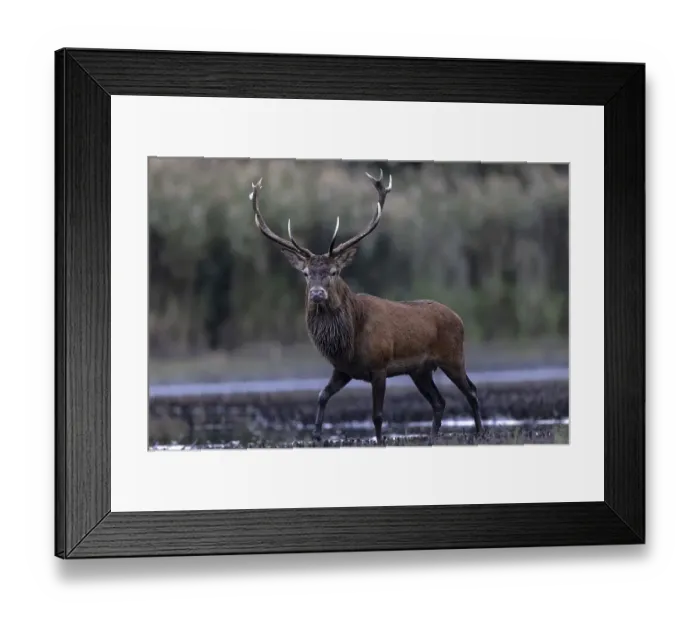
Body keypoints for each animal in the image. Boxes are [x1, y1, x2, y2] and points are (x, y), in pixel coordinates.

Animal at [248, 169, 484, 445]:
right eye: (306, 273)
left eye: (334, 271)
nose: (317, 294)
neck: (349, 340)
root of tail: (459, 318)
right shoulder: (343, 369)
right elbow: (322, 395)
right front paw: (316, 435)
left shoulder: (379, 366)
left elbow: (377, 415)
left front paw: (380, 441)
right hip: (420, 370)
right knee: (439, 401)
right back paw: (432, 438)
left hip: (453, 356)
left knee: (471, 390)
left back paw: (479, 431)